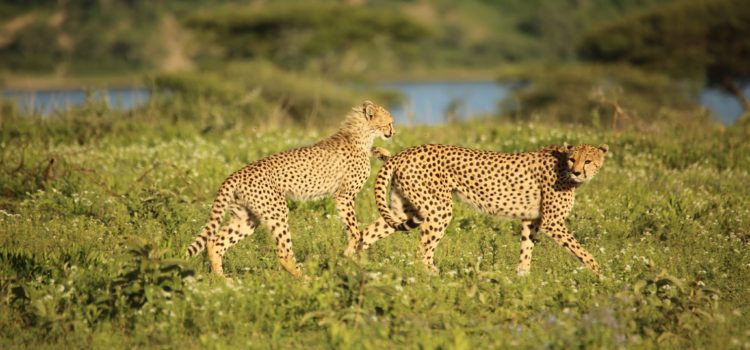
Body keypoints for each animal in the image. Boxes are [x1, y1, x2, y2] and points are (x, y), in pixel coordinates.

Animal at [187, 100, 394, 278]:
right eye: (389, 123)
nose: (393, 132)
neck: (361, 134)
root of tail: (235, 175)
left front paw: (384, 153)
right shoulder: (345, 195)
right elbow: (354, 229)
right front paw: (351, 250)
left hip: (246, 217)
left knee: (214, 242)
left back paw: (224, 281)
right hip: (277, 211)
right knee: (284, 255)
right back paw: (307, 279)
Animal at [362, 143, 612, 276]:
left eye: (588, 161)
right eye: (573, 159)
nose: (578, 172)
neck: (562, 166)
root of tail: (403, 152)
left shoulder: (531, 219)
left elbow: (526, 249)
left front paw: (522, 277)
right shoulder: (552, 222)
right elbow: (581, 250)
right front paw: (600, 274)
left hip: (404, 211)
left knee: (366, 233)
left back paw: (355, 265)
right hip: (439, 210)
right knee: (421, 250)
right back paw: (433, 277)